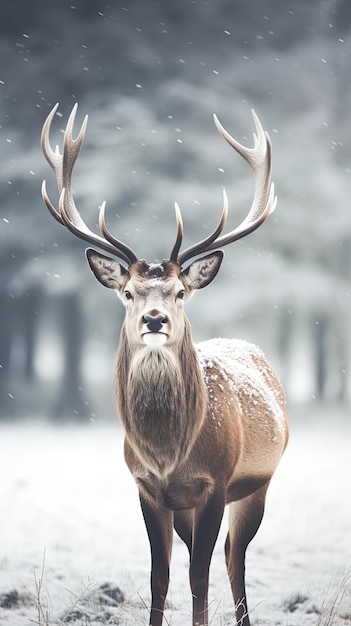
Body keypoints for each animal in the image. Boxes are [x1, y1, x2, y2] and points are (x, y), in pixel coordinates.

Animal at [40, 103, 288, 624]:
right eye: (129, 292)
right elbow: (161, 577)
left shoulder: (215, 483)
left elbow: (198, 578)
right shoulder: (148, 488)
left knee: (234, 555)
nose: (154, 319)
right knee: (221, 554)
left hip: (258, 482)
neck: (169, 454)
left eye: (179, 292)